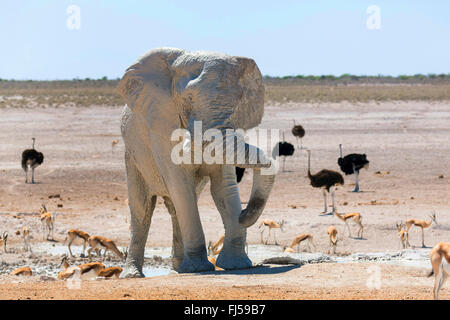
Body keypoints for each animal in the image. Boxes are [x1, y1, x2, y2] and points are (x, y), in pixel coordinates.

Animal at [116, 48, 276, 278]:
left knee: (177, 207)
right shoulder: (162, 123)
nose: (244, 214)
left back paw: (177, 270)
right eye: (189, 98)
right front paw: (199, 269)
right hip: (132, 157)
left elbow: (223, 188)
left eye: (238, 102)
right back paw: (134, 275)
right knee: (142, 207)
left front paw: (237, 265)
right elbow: (180, 185)